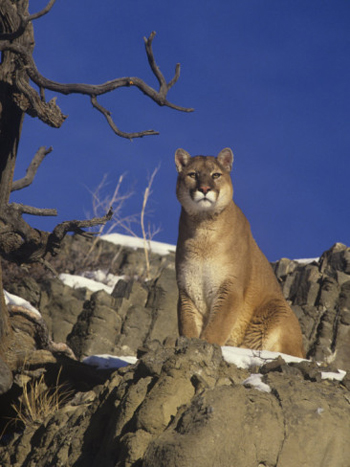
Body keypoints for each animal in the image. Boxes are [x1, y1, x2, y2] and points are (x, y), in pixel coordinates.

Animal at [176, 147, 304, 358]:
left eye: (216, 175)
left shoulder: (230, 287)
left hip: (277, 309)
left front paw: (205, 344)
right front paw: (189, 343)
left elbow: (217, 326)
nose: (205, 189)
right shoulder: (187, 290)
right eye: (193, 174)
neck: (203, 230)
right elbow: (188, 325)